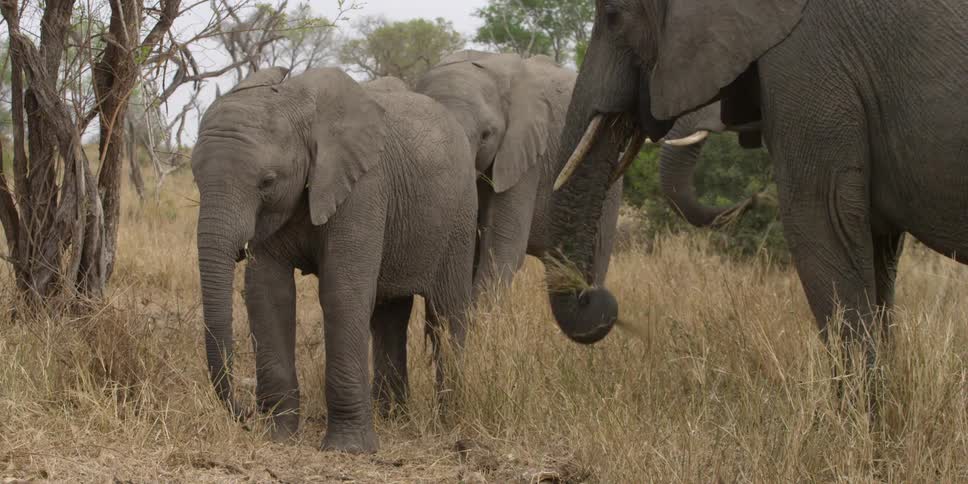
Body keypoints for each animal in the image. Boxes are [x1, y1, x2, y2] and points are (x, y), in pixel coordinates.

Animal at [191, 67, 477, 453]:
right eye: (195, 177)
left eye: (267, 181)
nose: (247, 412)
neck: (298, 106)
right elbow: (268, 293)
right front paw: (279, 437)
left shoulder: (365, 186)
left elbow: (343, 293)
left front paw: (349, 449)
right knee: (389, 315)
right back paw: (393, 418)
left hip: (460, 214)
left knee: (448, 310)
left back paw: (449, 419)